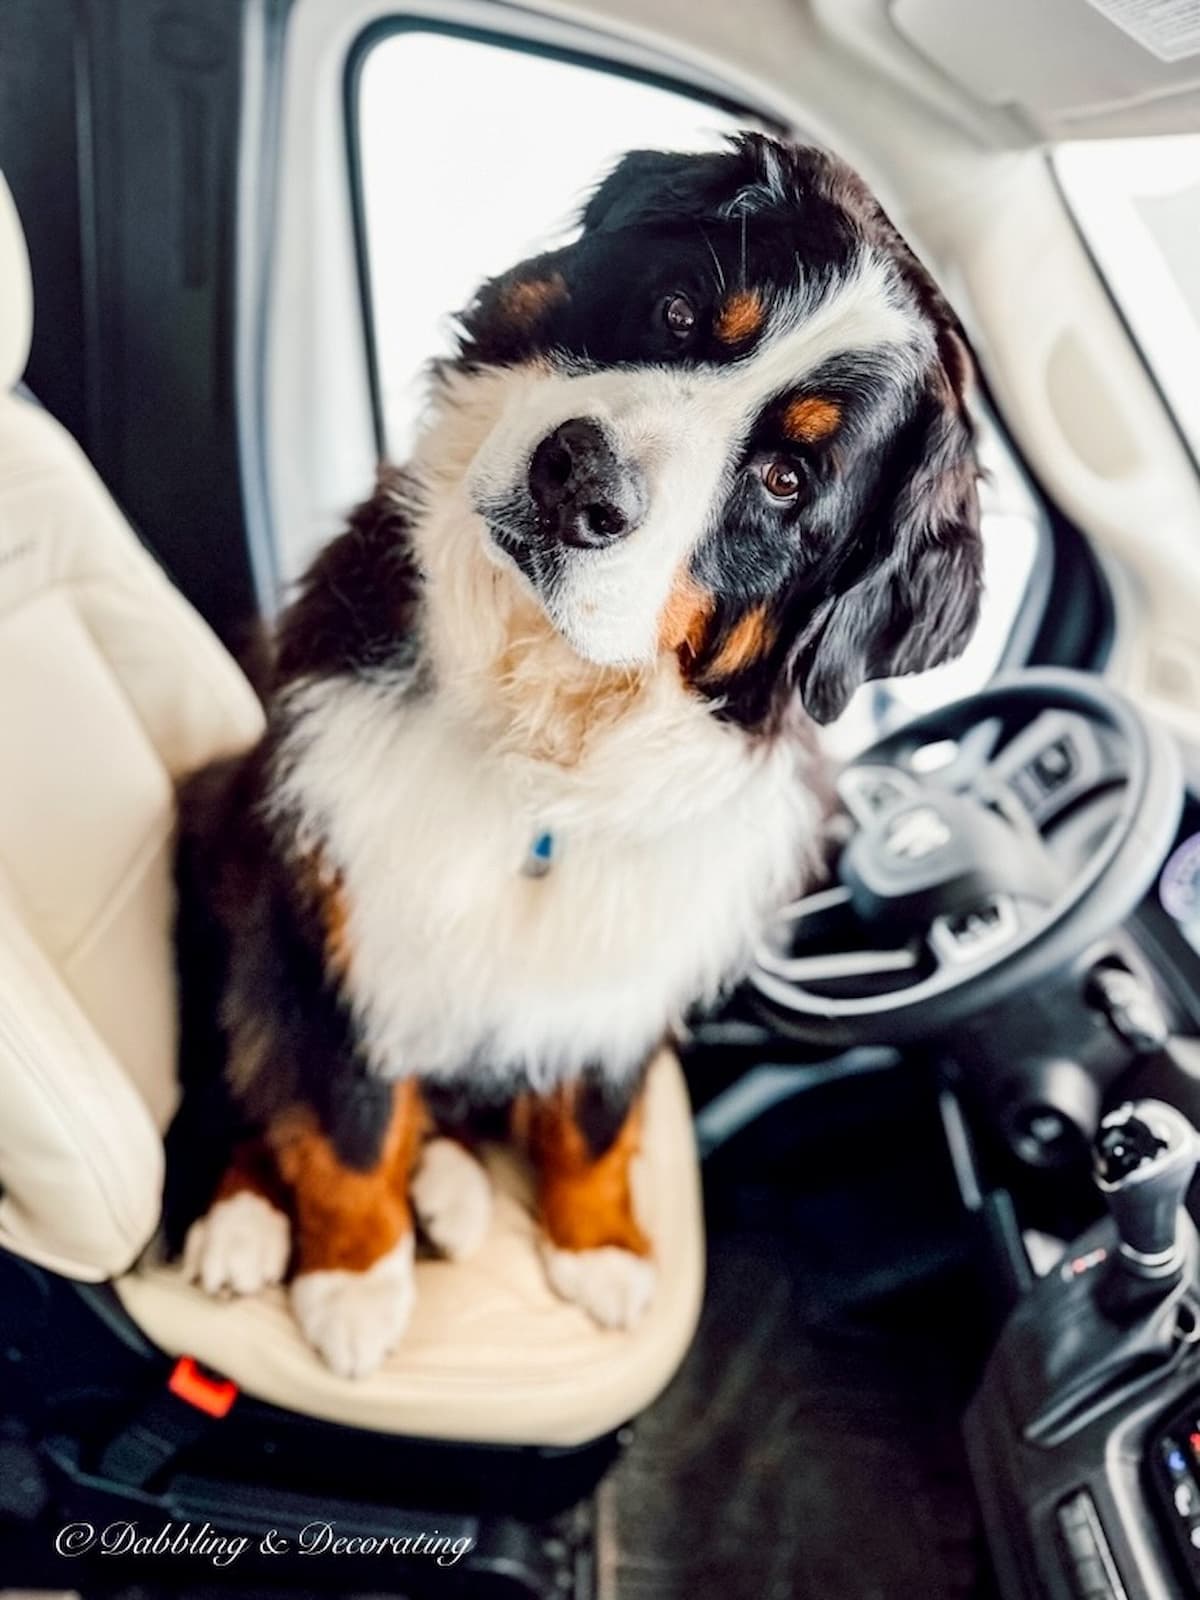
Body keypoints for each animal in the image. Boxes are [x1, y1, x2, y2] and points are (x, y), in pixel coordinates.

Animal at [167, 137, 985, 1382]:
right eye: (679, 311)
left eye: (787, 480)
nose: (582, 481)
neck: (545, 739)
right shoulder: (338, 891)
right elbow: (343, 1108)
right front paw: (353, 1276)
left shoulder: (628, 946)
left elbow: (594, 1114)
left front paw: (600, 1245)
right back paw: (248, 1216)